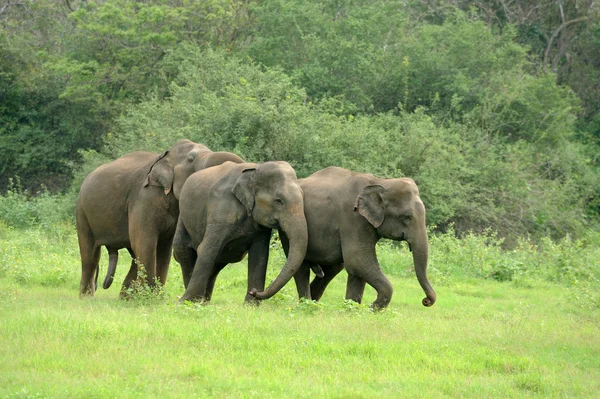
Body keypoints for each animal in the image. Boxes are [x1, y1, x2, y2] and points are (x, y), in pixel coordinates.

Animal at [77, 139, 244, 298]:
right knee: (90, 255)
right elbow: (145, 242)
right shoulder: (144, 198)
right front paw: (150, 297)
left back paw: (125, 297)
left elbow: (164, 248)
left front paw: (156, 297)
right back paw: (87, 297)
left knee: (133, 255)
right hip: (82, 212)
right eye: (191, 159)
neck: (165, 157)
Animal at [173, 159, 312, 304]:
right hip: (183, 217)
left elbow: (259, 255)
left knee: (217, 261)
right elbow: (207, 249)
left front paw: (250, 305)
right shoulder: (220, 211)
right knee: (183, 251)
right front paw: (187, 302)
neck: (256, 169)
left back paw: (205, 302)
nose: (254, 291)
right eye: (279, 201)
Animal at [248, 166, 436, 310]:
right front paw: (371, 309)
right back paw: (307, 304)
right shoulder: (353, 219)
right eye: (407, 218)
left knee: (332, 269)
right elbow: (358, 260)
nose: (426, 301)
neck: (381, 182)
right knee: (302, 267)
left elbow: (357, 268)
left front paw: (353, 309)